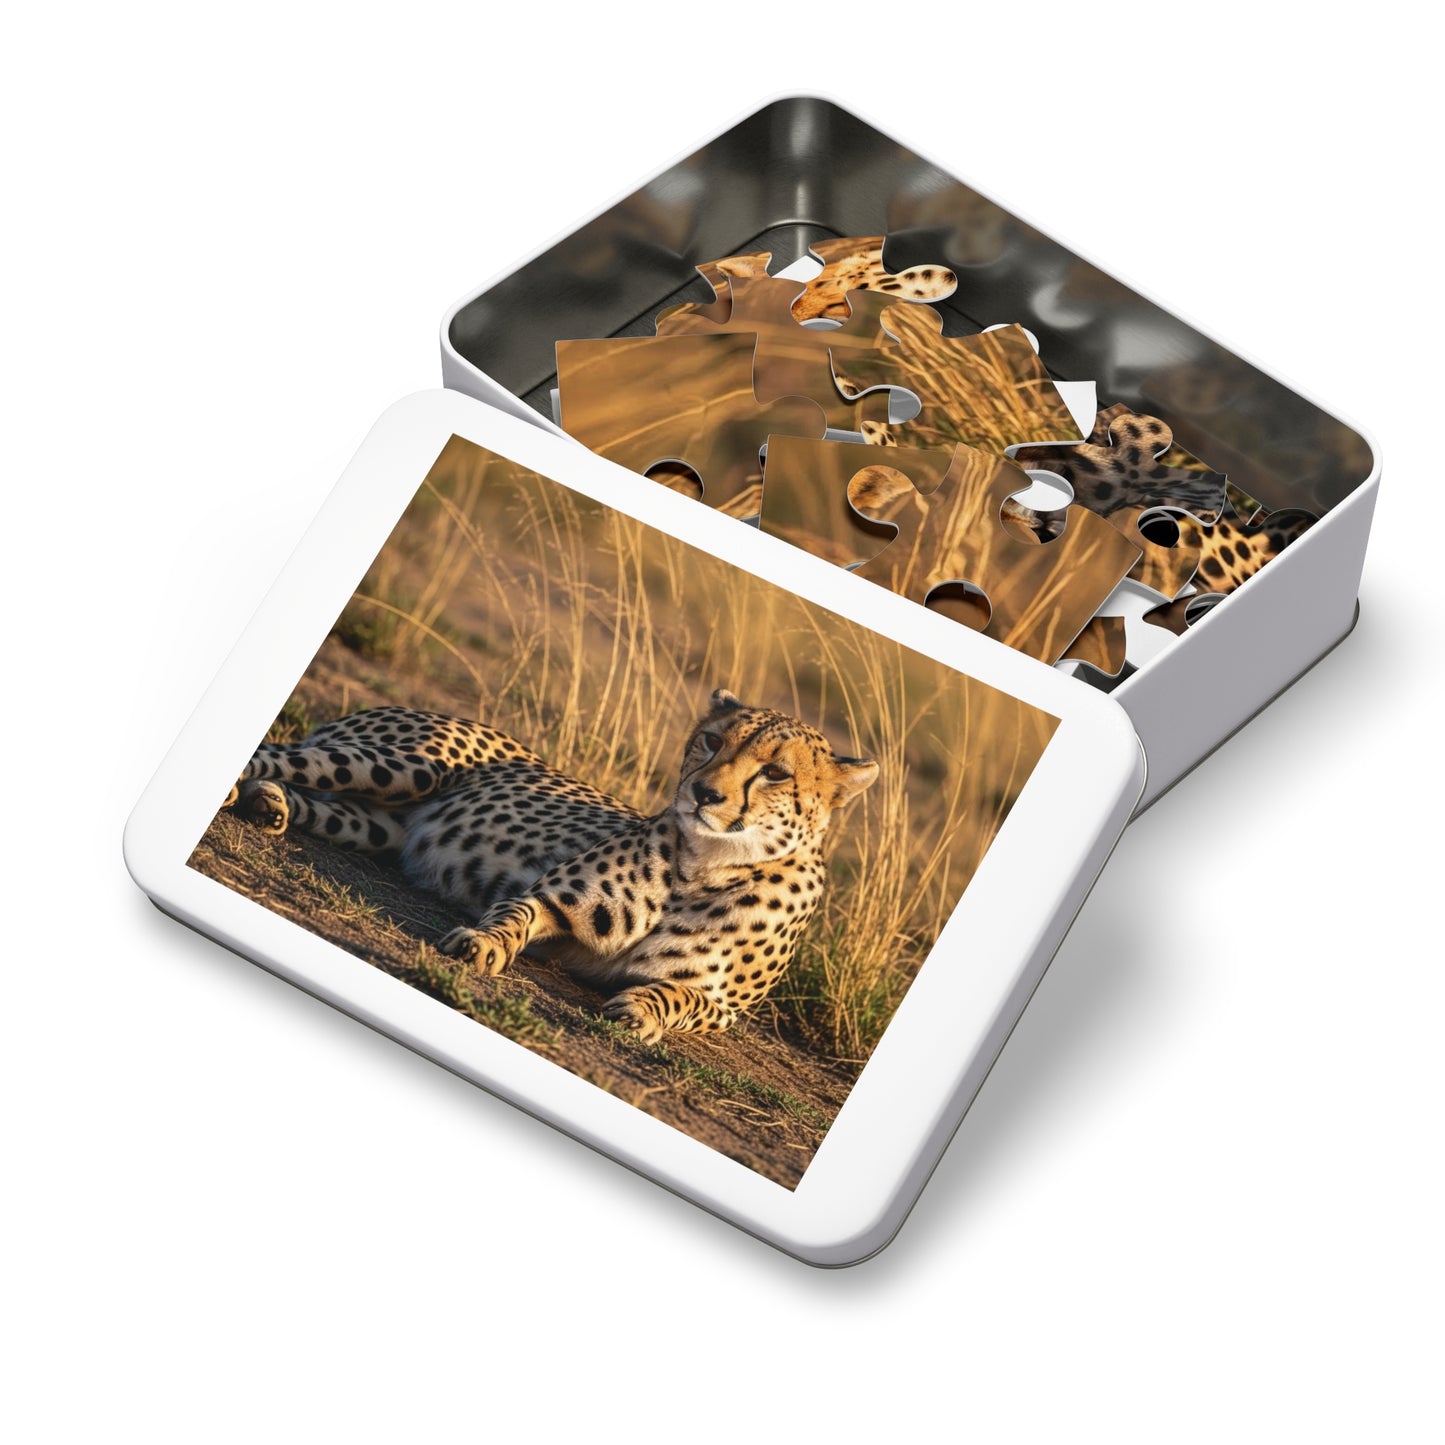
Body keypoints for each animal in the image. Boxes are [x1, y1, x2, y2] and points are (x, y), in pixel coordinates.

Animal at [227, 690, 879, 1043]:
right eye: (713, 741)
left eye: (776, 772)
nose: (704, 793)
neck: (706, 866)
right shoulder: (553, 900)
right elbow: (514, 914)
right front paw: (484, 945)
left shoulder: (726, 1009)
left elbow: (683, 999)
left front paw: (642, 1009)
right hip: (399, 766)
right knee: (275, 753)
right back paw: (243, 787)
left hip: (380, 824)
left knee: (304, 795)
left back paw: (268, 803)